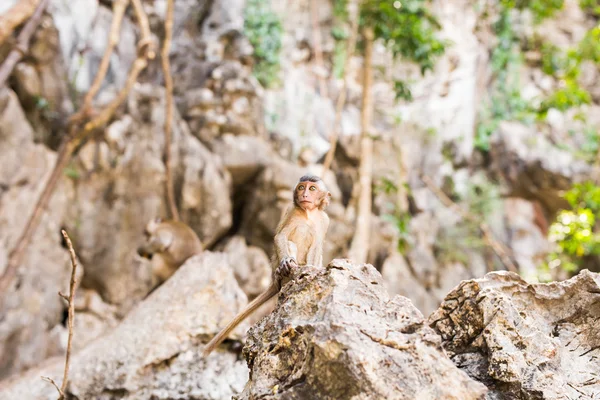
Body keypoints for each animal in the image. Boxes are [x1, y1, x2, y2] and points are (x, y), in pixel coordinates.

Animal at [204, 173, 330, 354]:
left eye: (312, 188)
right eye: (301, 187)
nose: (305, 195)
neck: (309, 213)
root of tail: (274, 281)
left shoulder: (324, 220)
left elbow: (317, 246)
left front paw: (312, 269)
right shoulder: (291, 211)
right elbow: (281, 237)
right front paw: (286, 262)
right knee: (289, 244)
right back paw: (285, 271)